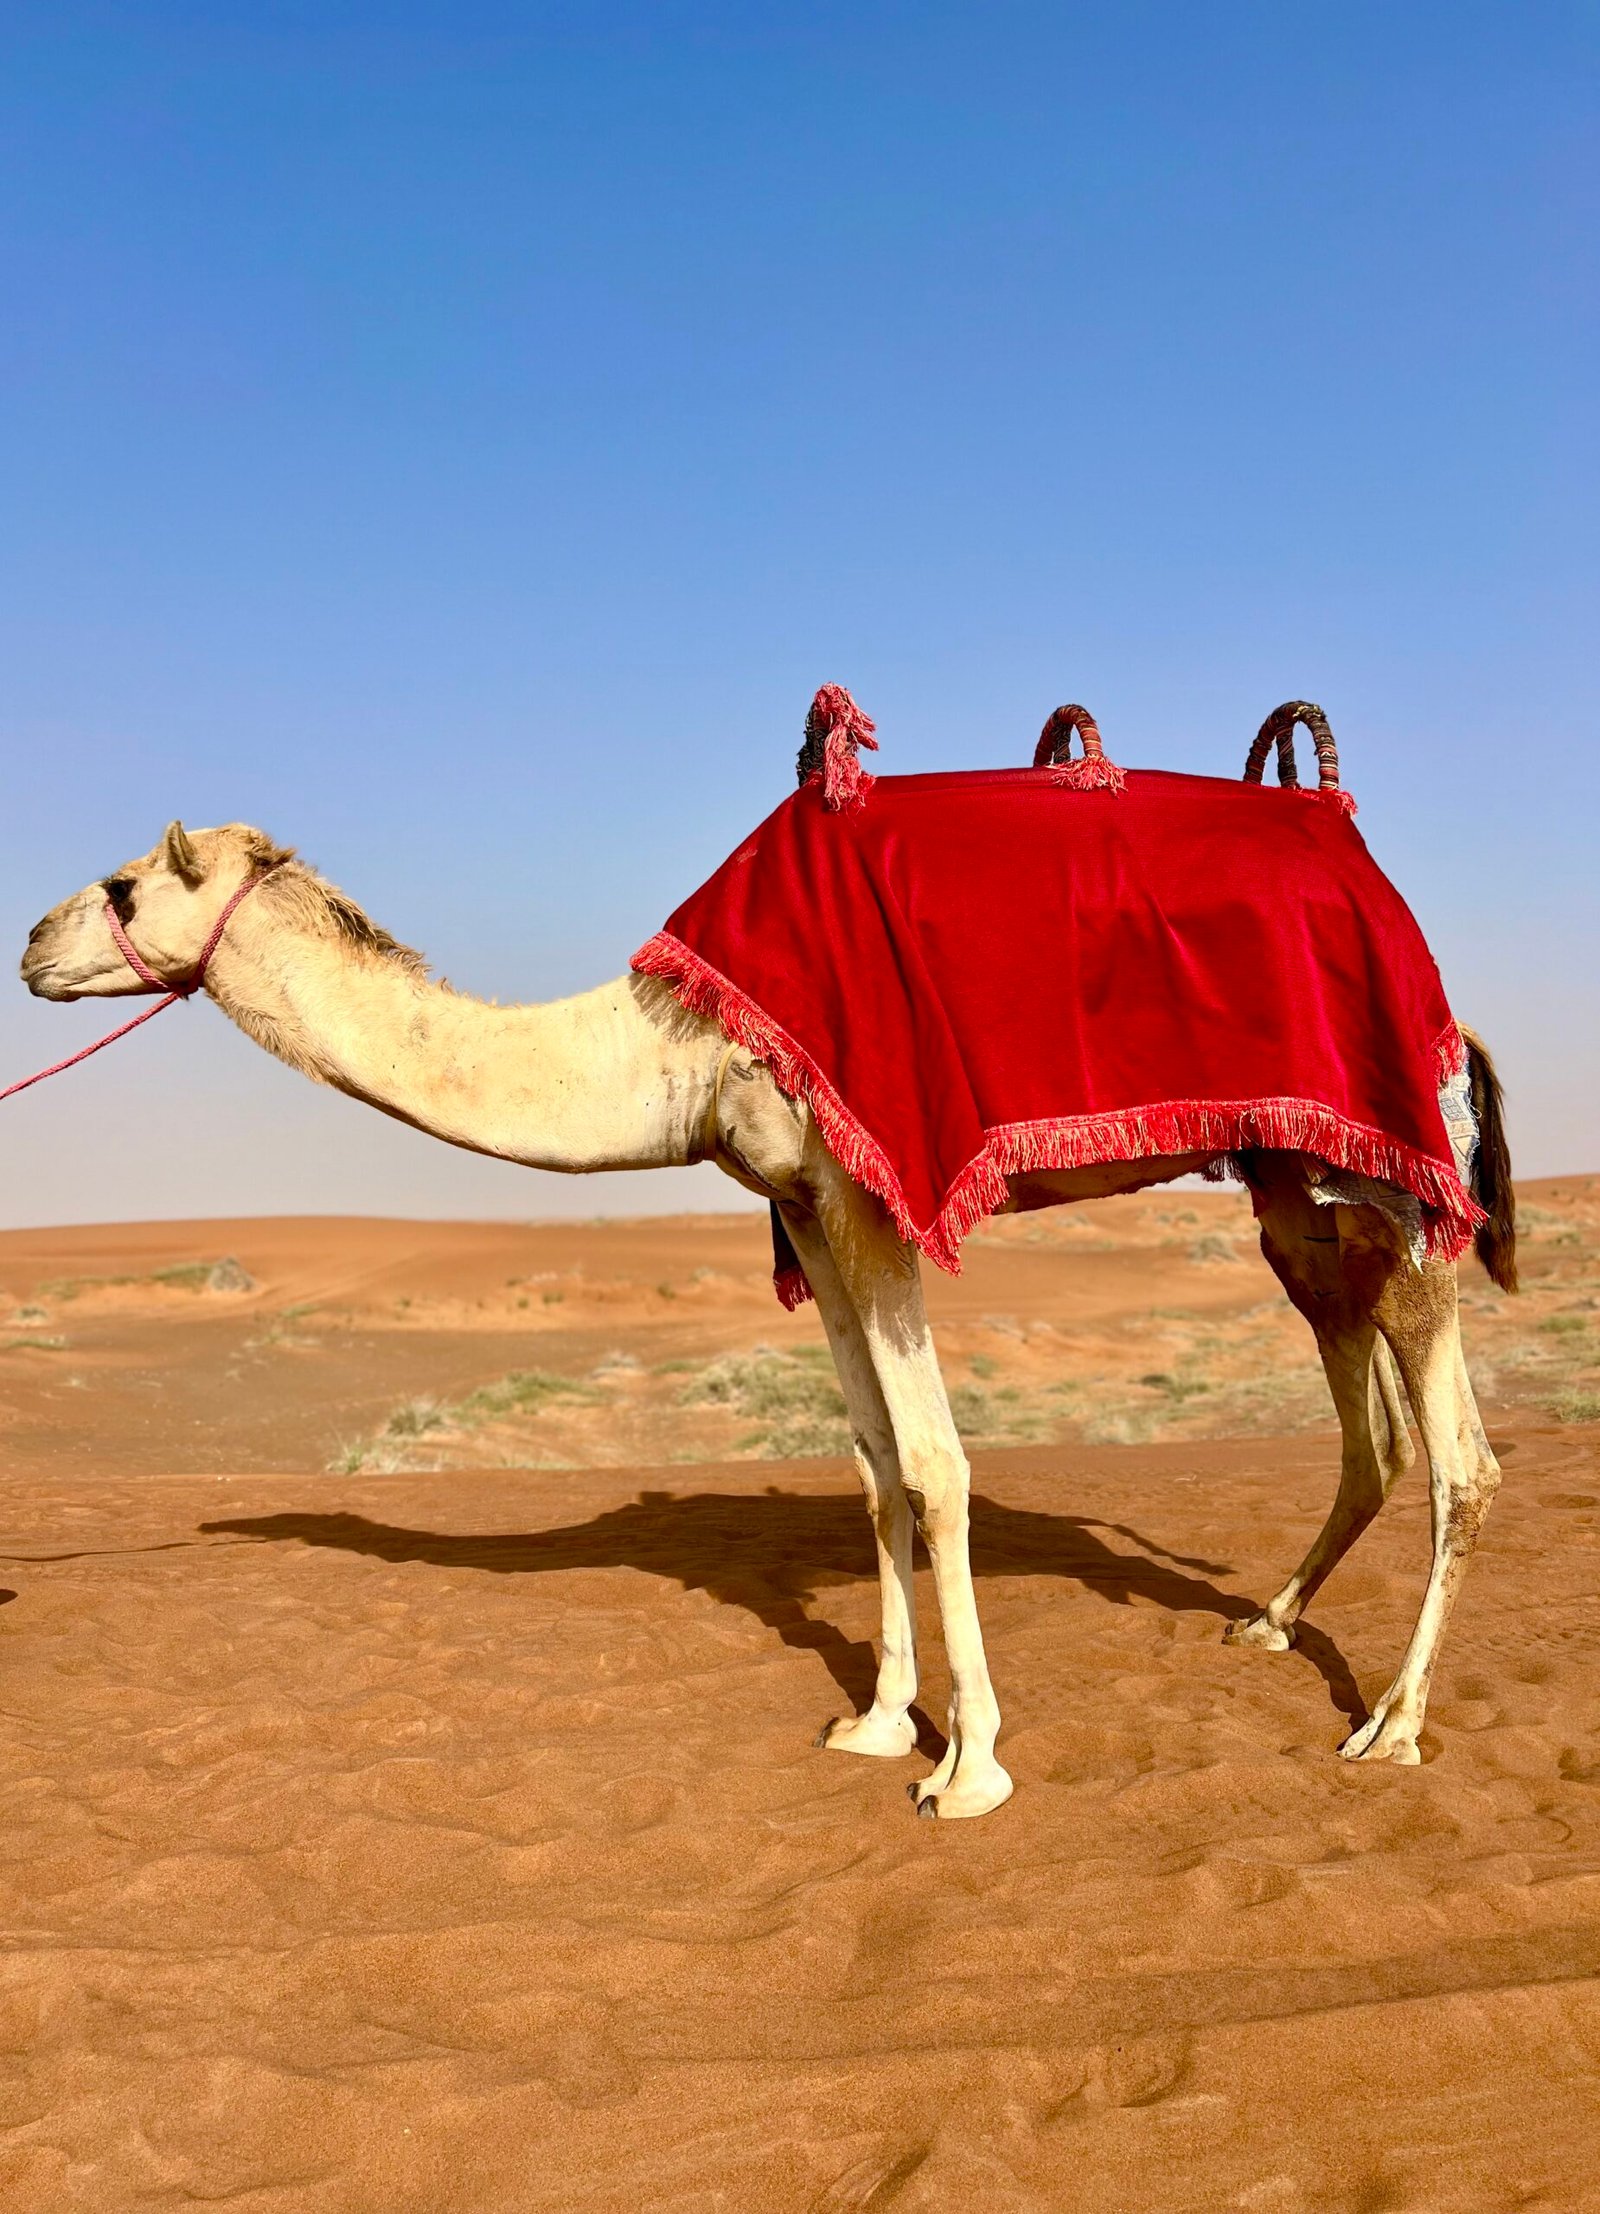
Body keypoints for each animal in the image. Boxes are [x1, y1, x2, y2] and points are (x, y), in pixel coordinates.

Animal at [19, 819, 1517, 1818]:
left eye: (124, 883)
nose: (30, 946)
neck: (667, 1046)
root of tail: (1450, 1013)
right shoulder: (804, 1202)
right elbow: (873, 1468)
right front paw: (877, 1721)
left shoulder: (870, 1195)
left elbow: (937, 1465)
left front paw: (969, 1766)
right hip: (1295, 1195)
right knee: (1374, 1422)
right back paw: (1267, 1624)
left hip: (1392, 1185)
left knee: (1463, 1456)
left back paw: (1390, 1725)